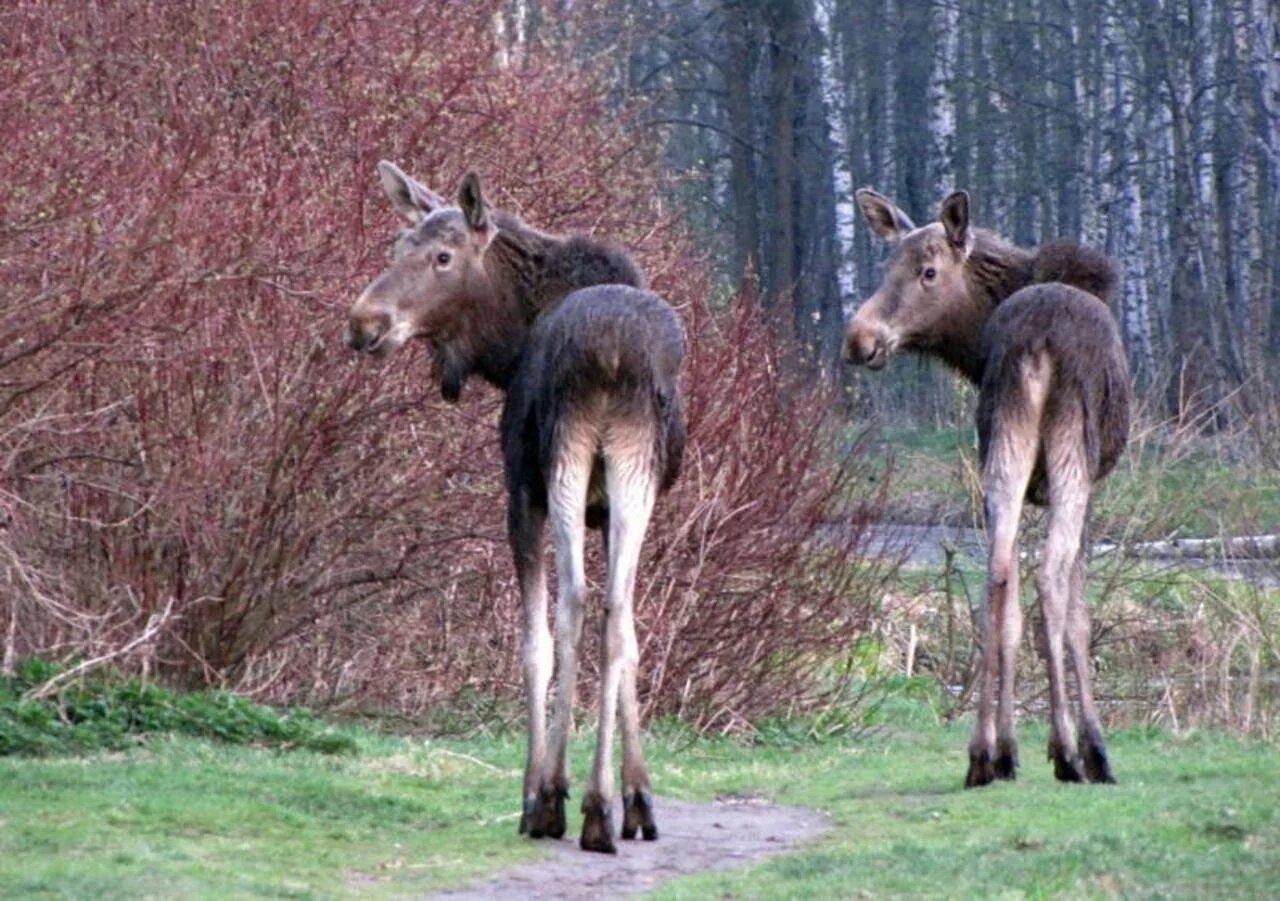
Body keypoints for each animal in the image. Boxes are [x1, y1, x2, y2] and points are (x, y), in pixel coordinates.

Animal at [345, 163, 686, 849]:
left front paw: (536, 790)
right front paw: (639, 795)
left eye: (443, 256)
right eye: (398, 245)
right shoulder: (617, 506)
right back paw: (610, 801)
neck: (504, 346)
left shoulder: (520, 493)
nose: (363, 322)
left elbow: (534, 643)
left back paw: (571, 805)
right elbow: (632, 636)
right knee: (615, 610)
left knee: (573, 603)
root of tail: (611, 353)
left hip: (560, 460)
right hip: (632, 466)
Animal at [844, 189, 1136, 788]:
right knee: (1048, 577)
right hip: (1072, 450)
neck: (973, 351)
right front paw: (1093, 747)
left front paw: (1007, 748)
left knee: (995, 575)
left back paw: (984, 754)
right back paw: (1068, 751)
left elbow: (1010, 605)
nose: (859, 339)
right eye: (889, 266)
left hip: (1000, 447)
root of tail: (1037, 344)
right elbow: (1078, 614)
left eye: (926, 271)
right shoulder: (1095, 485)